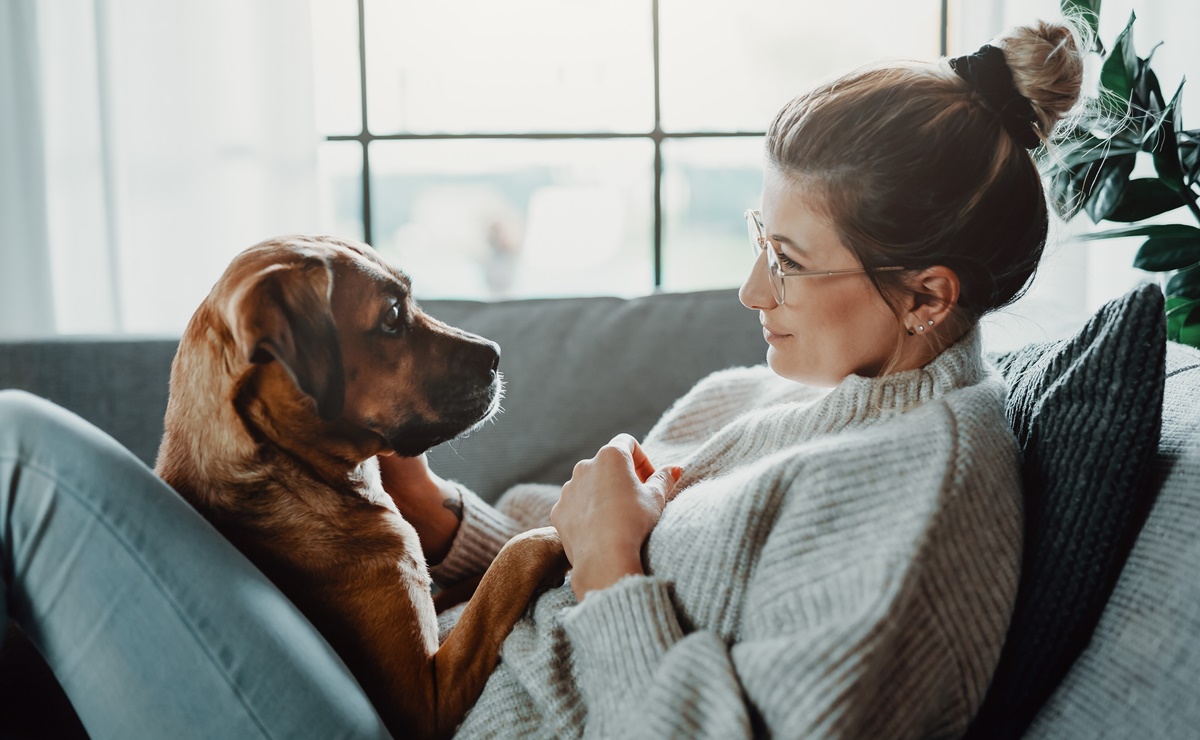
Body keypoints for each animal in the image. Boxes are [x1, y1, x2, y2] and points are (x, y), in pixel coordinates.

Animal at [154, 233, 566, 734]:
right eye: (391, 317)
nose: (496, 354)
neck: (291, 472)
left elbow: (477, 580)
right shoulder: (425, 700)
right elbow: (512, 560)